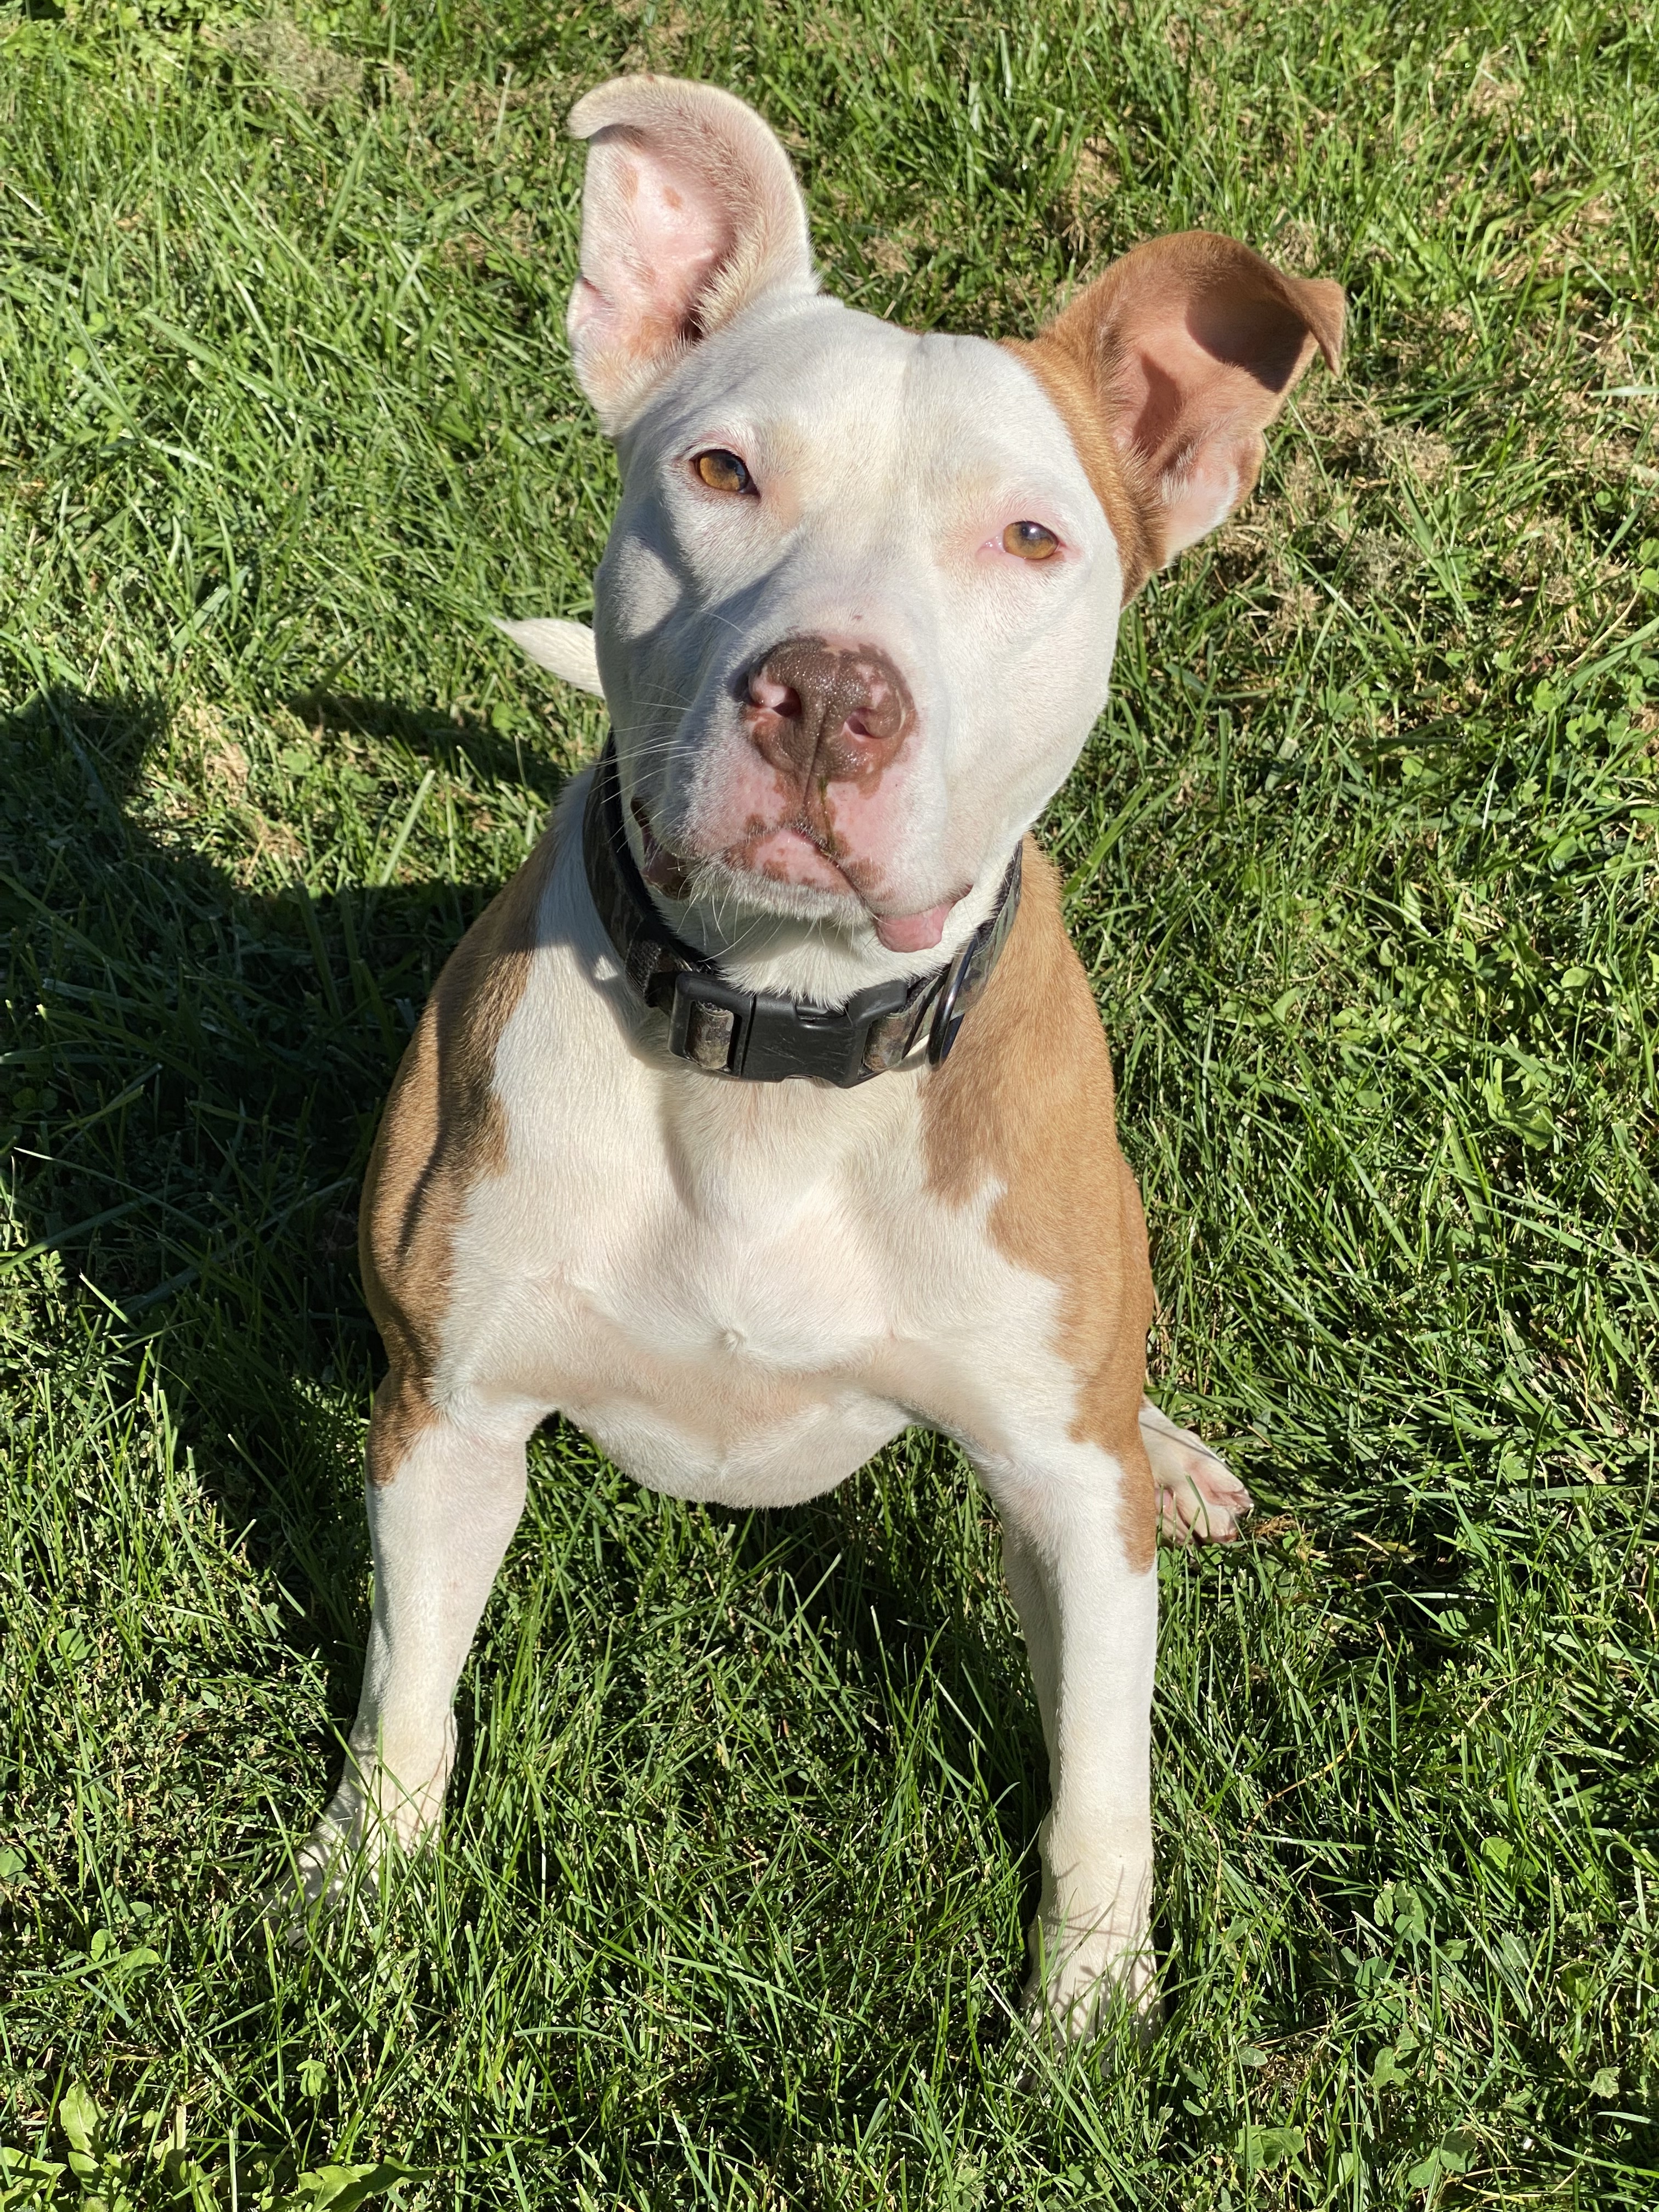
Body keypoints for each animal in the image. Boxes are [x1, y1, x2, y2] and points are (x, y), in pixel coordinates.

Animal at [296, 69, 1336, 2035]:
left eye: (1032, 541)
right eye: (722, 473)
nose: (831, 695)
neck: (773, 1040)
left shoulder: (1061, 1506)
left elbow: (1105, 1774)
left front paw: (1090, 2017)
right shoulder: (448, 1423)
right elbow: (407, 1688)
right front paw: (358, 1897)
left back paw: (1172, 1453)